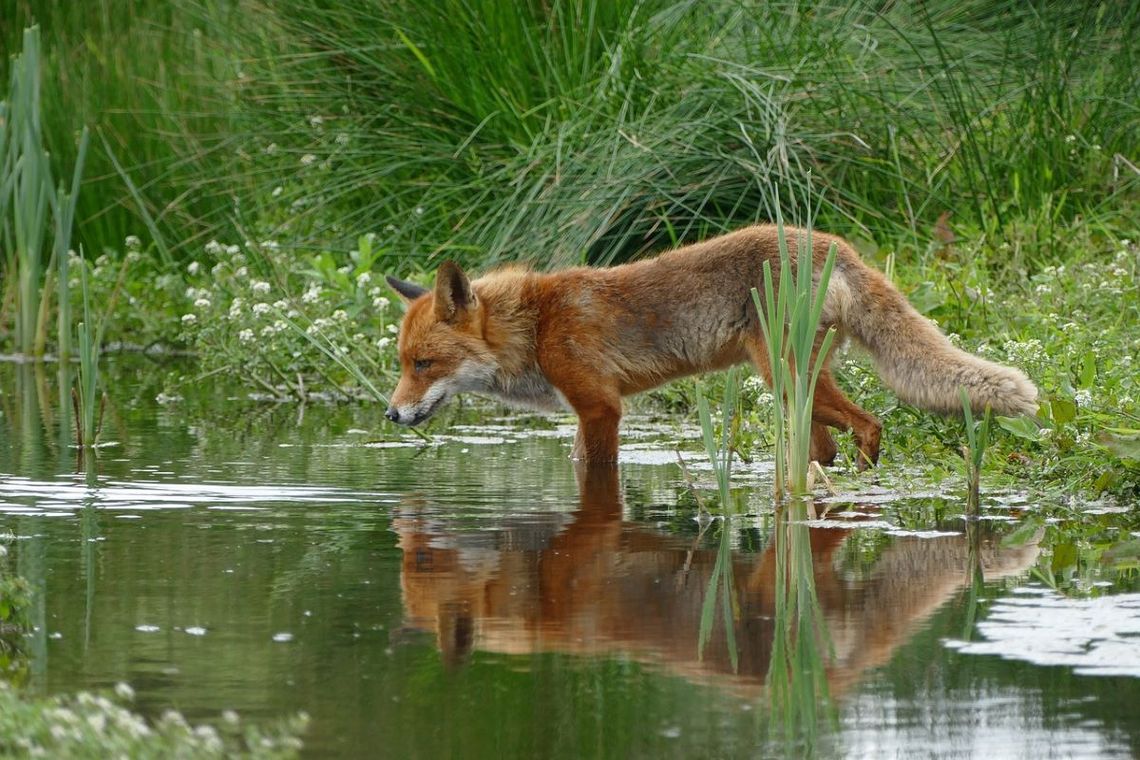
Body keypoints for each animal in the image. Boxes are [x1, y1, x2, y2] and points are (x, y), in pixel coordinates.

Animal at [385, 223, 1044, 467]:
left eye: (425, 363)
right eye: (402, 364)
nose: (390, 414)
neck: (536, 324)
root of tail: (833, 243)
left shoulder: (601, 408)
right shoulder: (588, 411)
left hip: (785, 377)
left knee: (871, 423)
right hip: (797, 390)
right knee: (828, 446)